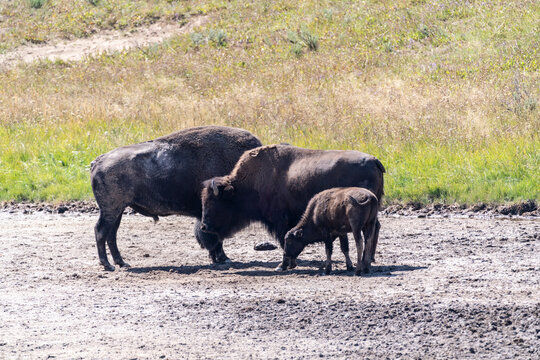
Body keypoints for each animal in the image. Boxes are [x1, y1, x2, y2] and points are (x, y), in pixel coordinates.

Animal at [90, 126, 262, 270]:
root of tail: (98, 160)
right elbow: (214, 237)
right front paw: (224, 259)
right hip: (111, 210)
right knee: (101, 231)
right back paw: (108, 265)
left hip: (117, 210)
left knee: (111, 234)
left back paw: (121, 263)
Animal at [199, 143, 384, 270]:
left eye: (214, 202)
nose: (204, 226)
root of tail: (374, 160)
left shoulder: (281, 221)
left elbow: (284, 240)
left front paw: (283, 265)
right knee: (374, 228)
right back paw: (369, 259)